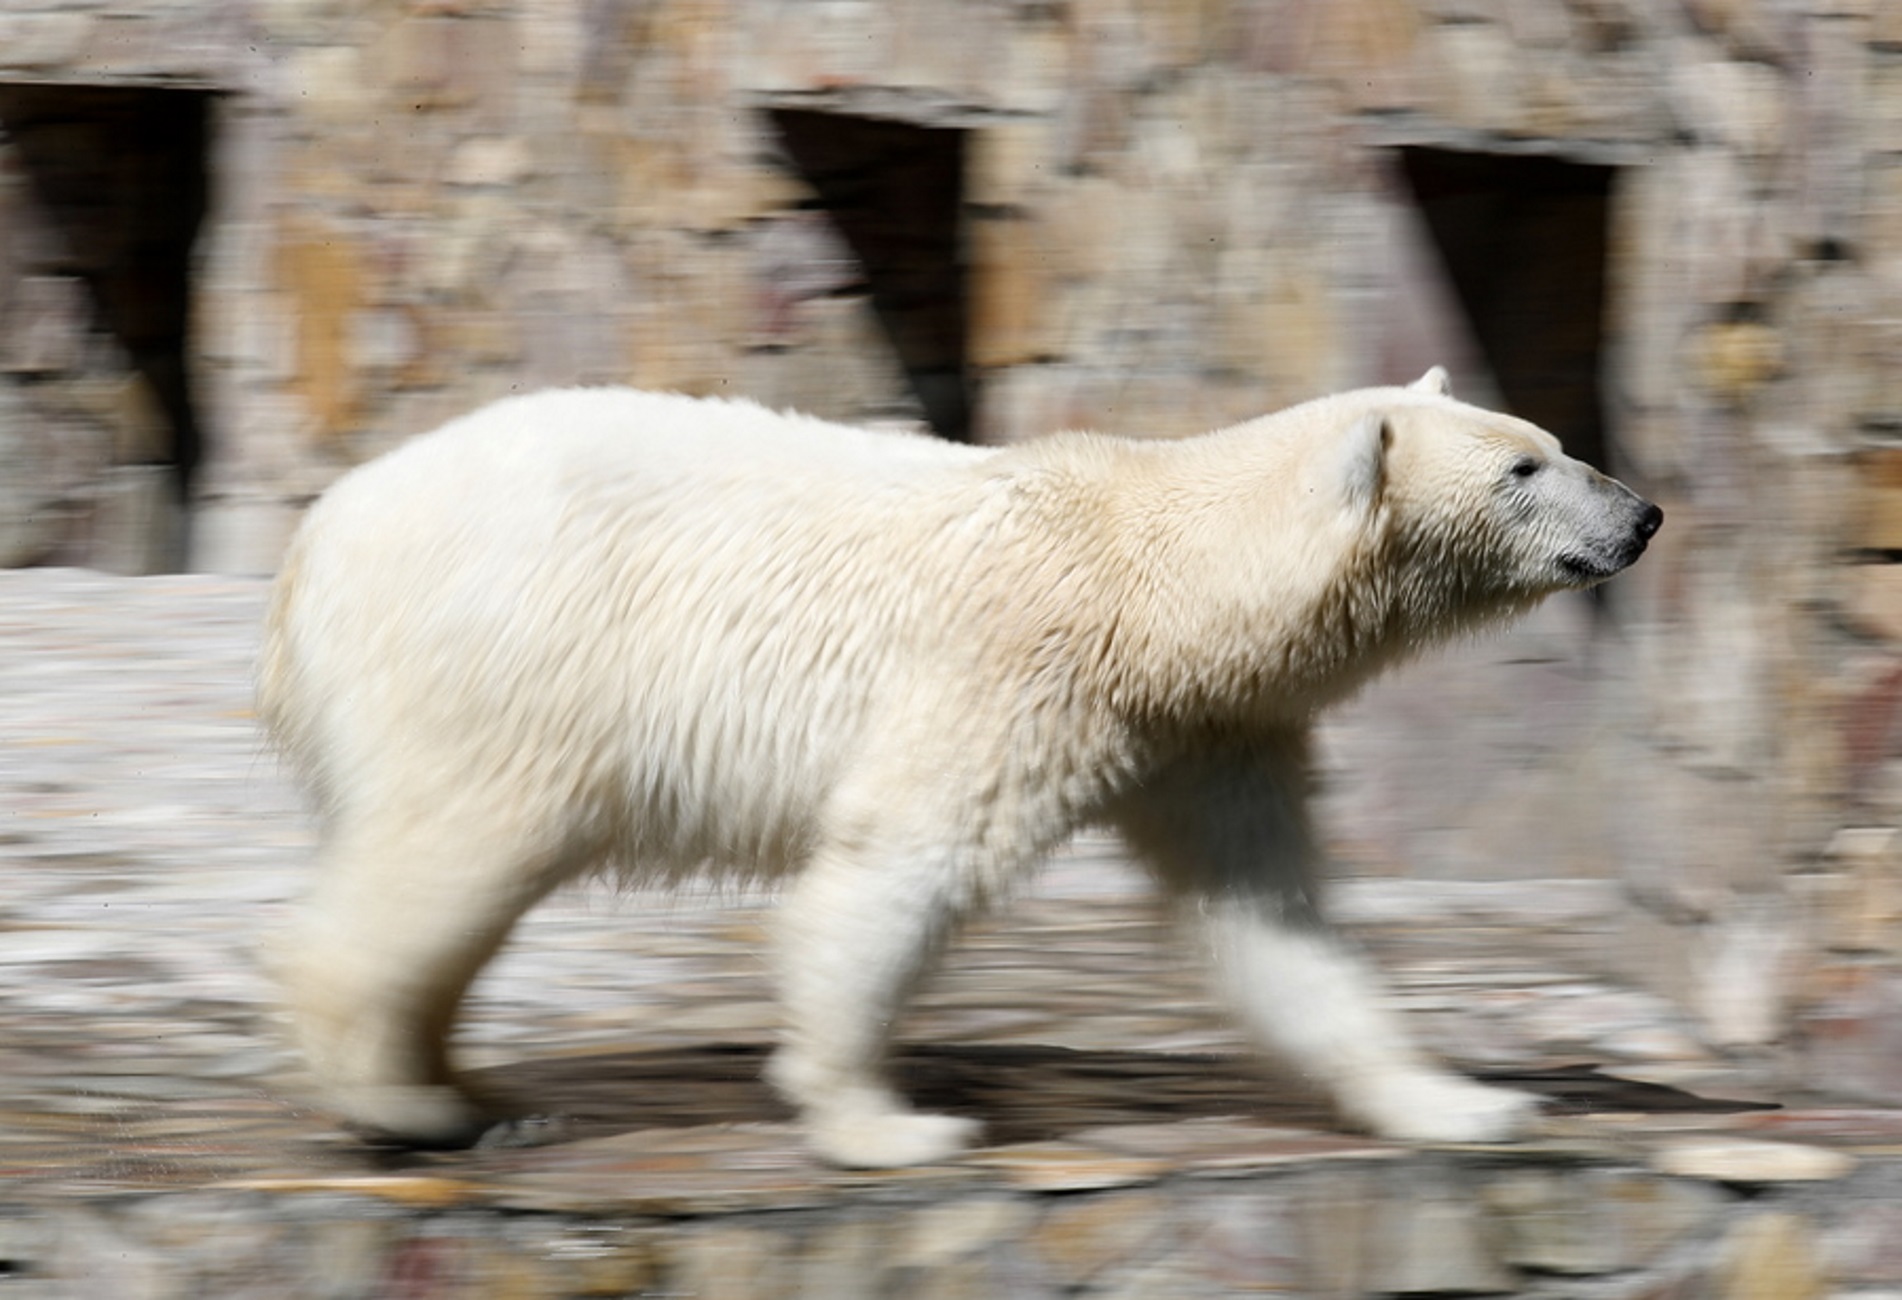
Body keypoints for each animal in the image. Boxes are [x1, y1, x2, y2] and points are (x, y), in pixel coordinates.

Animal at [260, 369, 1658, 1172]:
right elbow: (901, 861)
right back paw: (410, 1104)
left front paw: (1464, 1104)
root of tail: (318, 538)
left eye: (1549, 435)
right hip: (504, 660)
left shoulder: (1206, 733)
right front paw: (889, 1122)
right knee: (449, 851)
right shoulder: (1022, 669)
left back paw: (466, 1086)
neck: (1162, 588)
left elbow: (1274, 922)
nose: (1642, 514)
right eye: (1525, 466)